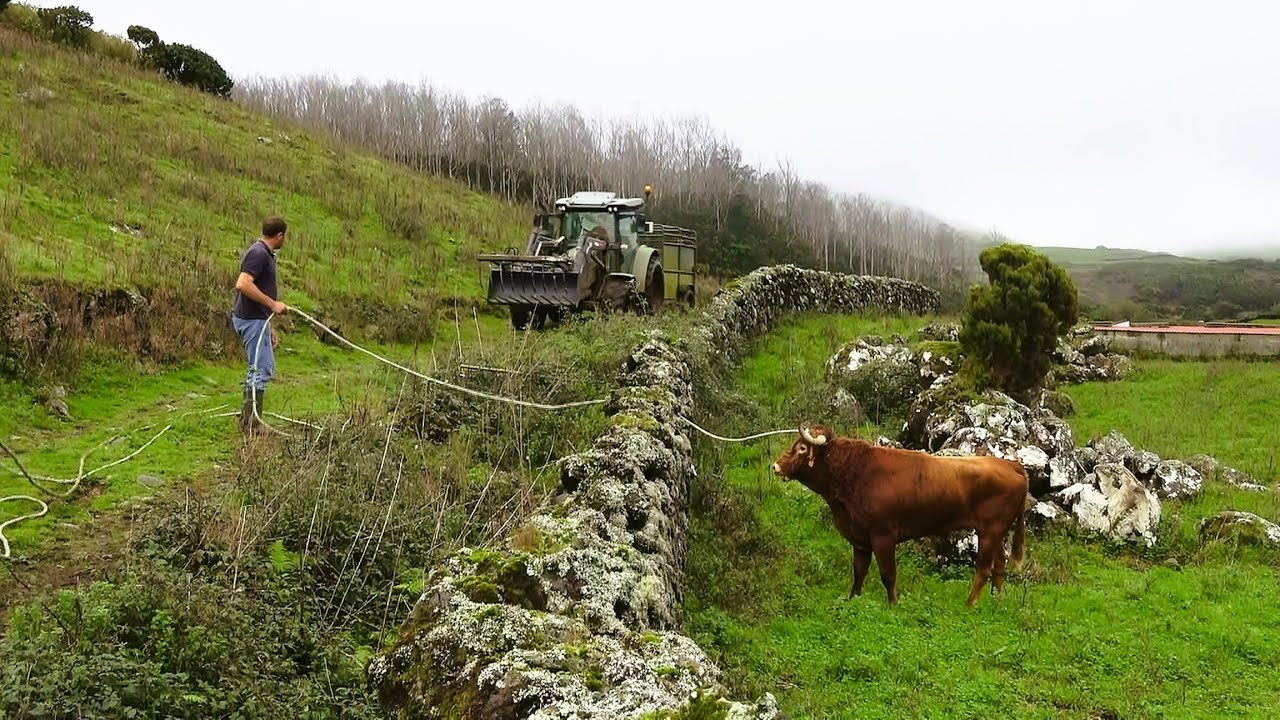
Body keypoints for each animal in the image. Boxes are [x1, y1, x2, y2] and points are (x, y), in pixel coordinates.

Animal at [770, 423, 1029, 607]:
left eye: (802, 448)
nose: (775, 466)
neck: (855, 472)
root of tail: (1010, 465)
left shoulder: (883, 536)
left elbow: (888, 574)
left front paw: (893, 604)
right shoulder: (861, 540)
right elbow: (859, 572)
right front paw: (853, 599)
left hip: (988, 532)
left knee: (984, 569)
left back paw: (969, 604)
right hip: (996, 533)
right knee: (999, 564)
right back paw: (996, 600)